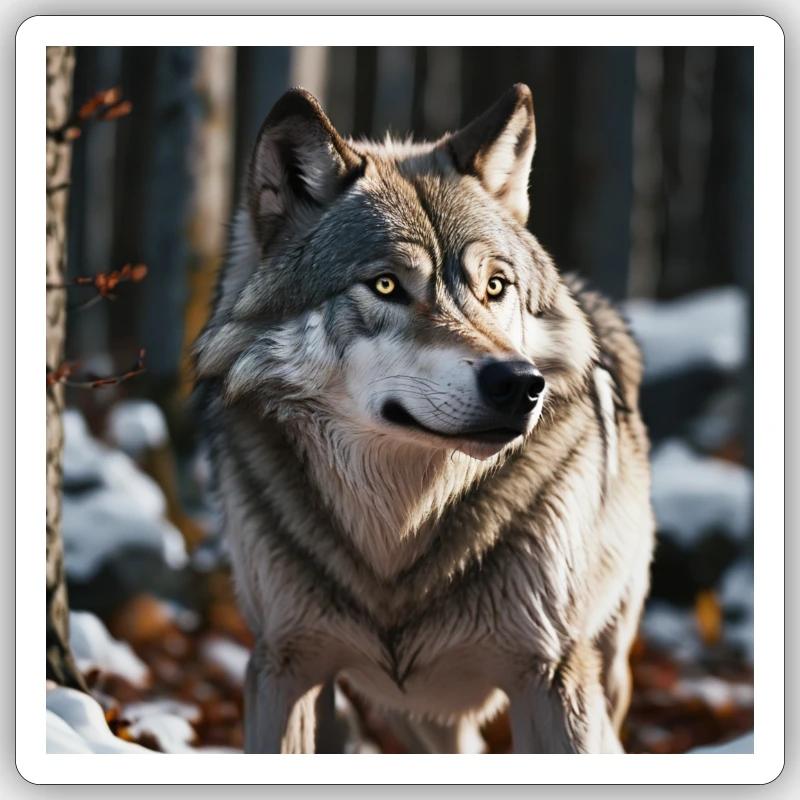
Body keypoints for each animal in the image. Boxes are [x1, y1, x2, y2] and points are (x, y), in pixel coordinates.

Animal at [194, 83, 655, 754]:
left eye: (496, 286)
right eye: (386, 285)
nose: (520, 384)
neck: (400, 533)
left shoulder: (552, 675)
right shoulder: (285, 665)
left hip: (606, 668)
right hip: (416, 718)